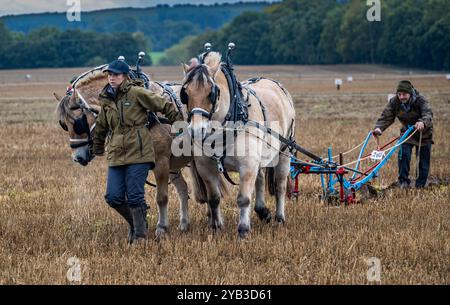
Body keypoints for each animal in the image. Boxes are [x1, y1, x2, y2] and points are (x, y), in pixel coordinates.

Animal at [181, 52, 298, 238]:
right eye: (185, 93)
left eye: (211, 92)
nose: (197, 130)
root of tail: (276, 84)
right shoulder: (205, 166)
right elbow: (214, 198)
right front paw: (216, 226)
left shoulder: (247, 164)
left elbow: (243, 199)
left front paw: (243, 230)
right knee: (260, 178)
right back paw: (262, 211)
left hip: (284, 152)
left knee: (279, 185)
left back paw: (279, 218)